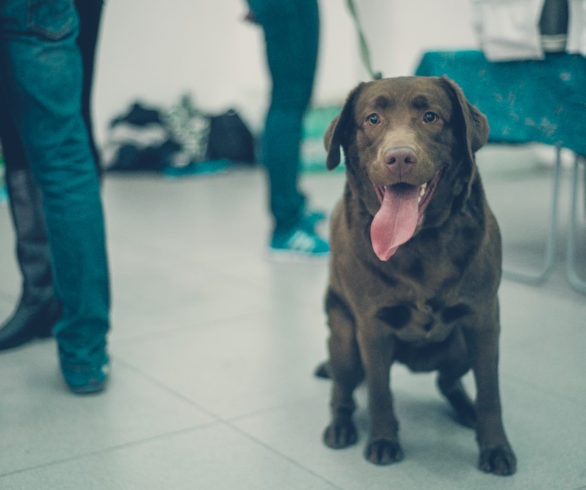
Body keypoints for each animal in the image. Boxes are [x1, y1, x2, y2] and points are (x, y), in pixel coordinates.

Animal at [322, 76, 512, 474]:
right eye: (372, 118)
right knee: (342, 390)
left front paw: (495, 448)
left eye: (431, 116)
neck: (419, 241)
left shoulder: (484, 321)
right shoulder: (372, 329)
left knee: (448, 382)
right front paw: (382, 440)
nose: (399, 157)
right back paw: (340, 426)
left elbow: (490, 393)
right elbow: (379, 393)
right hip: (345, 343)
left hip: (459, 347)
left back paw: (466, 410)